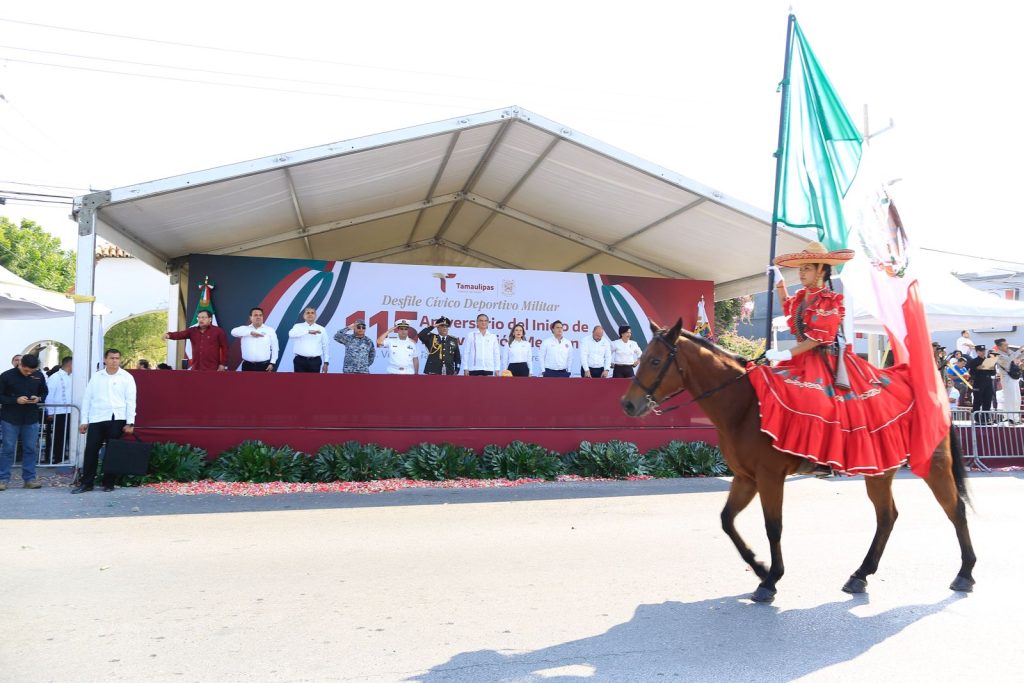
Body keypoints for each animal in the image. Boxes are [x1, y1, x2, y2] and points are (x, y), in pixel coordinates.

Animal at [620, 319, 976, 603]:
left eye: (655, 360)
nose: (627, 404)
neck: (745, 405)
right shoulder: (745, 478)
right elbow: (727, 520)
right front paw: (759, 567)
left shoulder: (769, 477)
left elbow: (773, 527)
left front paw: (770, 579)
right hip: (880, 471)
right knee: (887, 516)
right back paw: (860, 574)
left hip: (933, 465)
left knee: (954, 509)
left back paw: (965, 572)